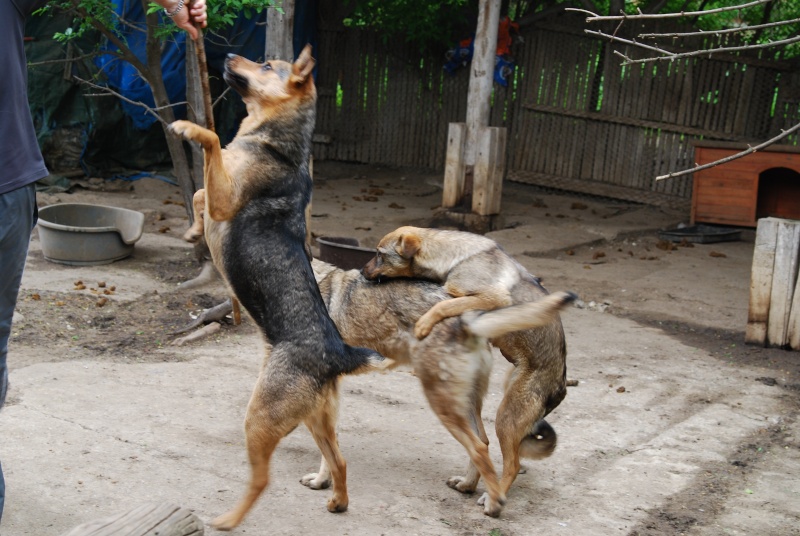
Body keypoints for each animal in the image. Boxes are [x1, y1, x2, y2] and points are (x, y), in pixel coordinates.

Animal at [170, 47, 390, 532]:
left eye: (268, 65)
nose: (230, 53)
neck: (276, 144)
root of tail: (337, 354)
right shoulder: (217, 194)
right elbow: (197, 194)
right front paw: (192, 231)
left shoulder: (225, 197)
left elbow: (210, 142)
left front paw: (190, 128)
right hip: (316, 419)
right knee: (339, 461)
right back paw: (337, 502)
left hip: (260, 418)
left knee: (262, 481)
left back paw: (228, 519)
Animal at [362, 225, 568, 506]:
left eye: (379, 254)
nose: (362, 272)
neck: (456, 258)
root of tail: (561, 386)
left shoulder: (492, 299)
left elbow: (445, 304)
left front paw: (424, 324)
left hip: (505, 418)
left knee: (511, 464)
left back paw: (493, 498)